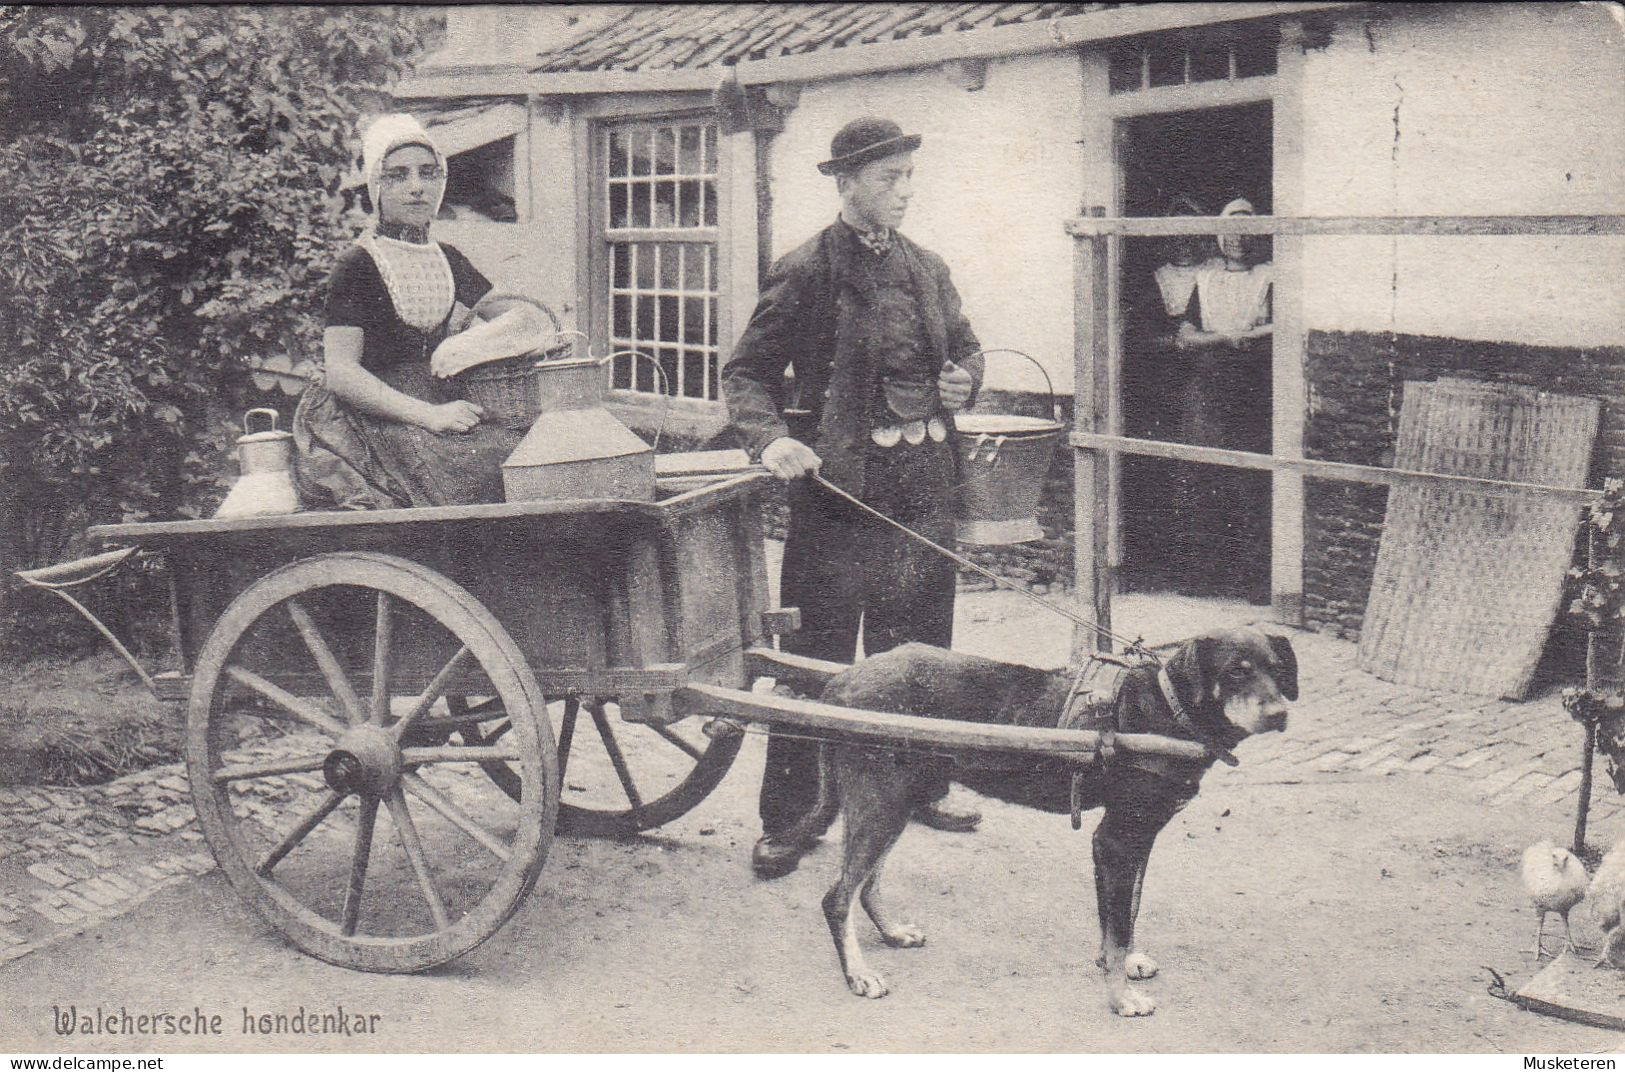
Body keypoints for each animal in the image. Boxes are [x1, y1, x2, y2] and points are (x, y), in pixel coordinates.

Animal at [780, 623, 1300, 1020]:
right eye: (1237, 670)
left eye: (1278, 669)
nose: (1280, 714)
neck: (1164, 708)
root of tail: (840, 682)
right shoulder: (1116, 838)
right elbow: (1117, 926)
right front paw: (1121, 997)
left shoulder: (1139, 837)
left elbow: (1126, 911)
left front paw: (1126, 963)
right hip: (881, 802)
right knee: (837, 897)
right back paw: (858, 974)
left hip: (896, 801)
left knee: (866, 884)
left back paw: (891, 933)